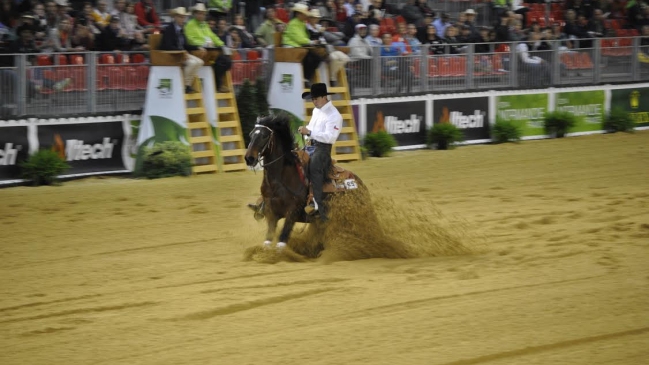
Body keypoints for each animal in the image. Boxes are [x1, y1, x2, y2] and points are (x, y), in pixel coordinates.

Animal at [244, 114, 364, 250]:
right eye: (251, 134)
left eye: (264, 136)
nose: (249, 158)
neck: (280, 181)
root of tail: (358, 182)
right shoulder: (270, 212)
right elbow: (268, 239)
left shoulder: (292, 212)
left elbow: (282, 239)